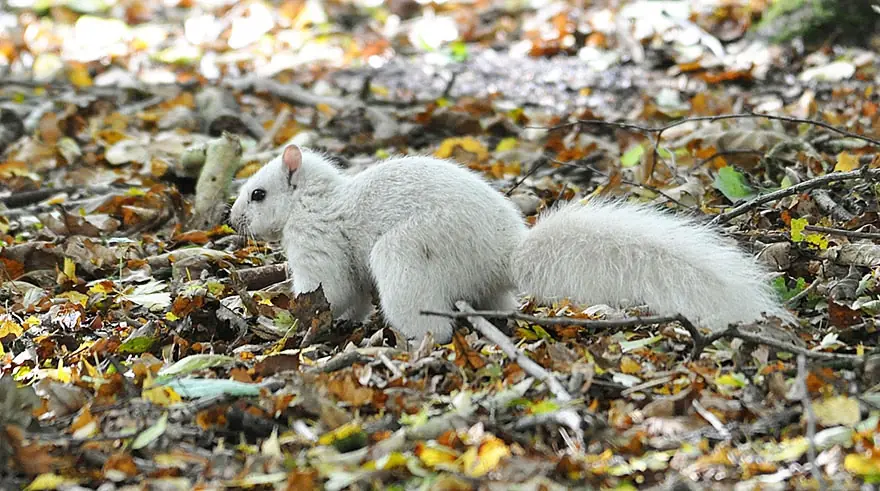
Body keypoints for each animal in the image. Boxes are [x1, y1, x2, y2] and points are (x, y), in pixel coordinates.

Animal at [229, 144, 794, 344]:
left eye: (258, 193)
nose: (232, 221)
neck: (317, 198)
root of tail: (505, 259)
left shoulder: (318, 242)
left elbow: (332, 289)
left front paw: (299, 321)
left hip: (406, 257)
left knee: (429, 323)